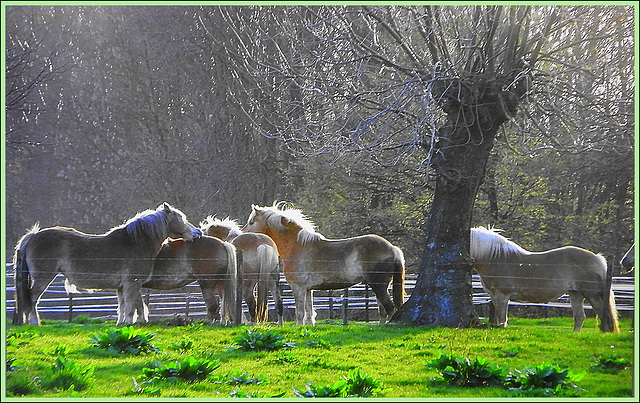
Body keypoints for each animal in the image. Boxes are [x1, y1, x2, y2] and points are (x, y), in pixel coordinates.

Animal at [13, 204, 202, 326]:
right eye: (181, 219)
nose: (198, 232)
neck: (135, 242)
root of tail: (33, 235)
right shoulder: (132, 283)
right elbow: (132, 307)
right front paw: (129, 324)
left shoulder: (124, 286)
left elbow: (127, 306)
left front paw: (125, 323)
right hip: (43, 277)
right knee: (32, 298)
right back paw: (34, 322)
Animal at [240, 204, 404, 326]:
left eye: (252, 222)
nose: (242, 234)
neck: (297, 245)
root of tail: (392, 248)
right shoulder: (308, 289)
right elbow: (309, 312)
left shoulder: (298, 287)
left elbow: (300, 313)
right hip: (380, 286)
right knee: (383, 310)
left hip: (378, 285)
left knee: (390, 308)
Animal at [470, 227, 620, 334]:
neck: (496, 259)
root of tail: (597, 258)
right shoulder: (494, 295)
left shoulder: (503, 295)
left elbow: (502, 318)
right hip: (575, 294)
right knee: (580, 317)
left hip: (592, 295)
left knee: (603, 314)